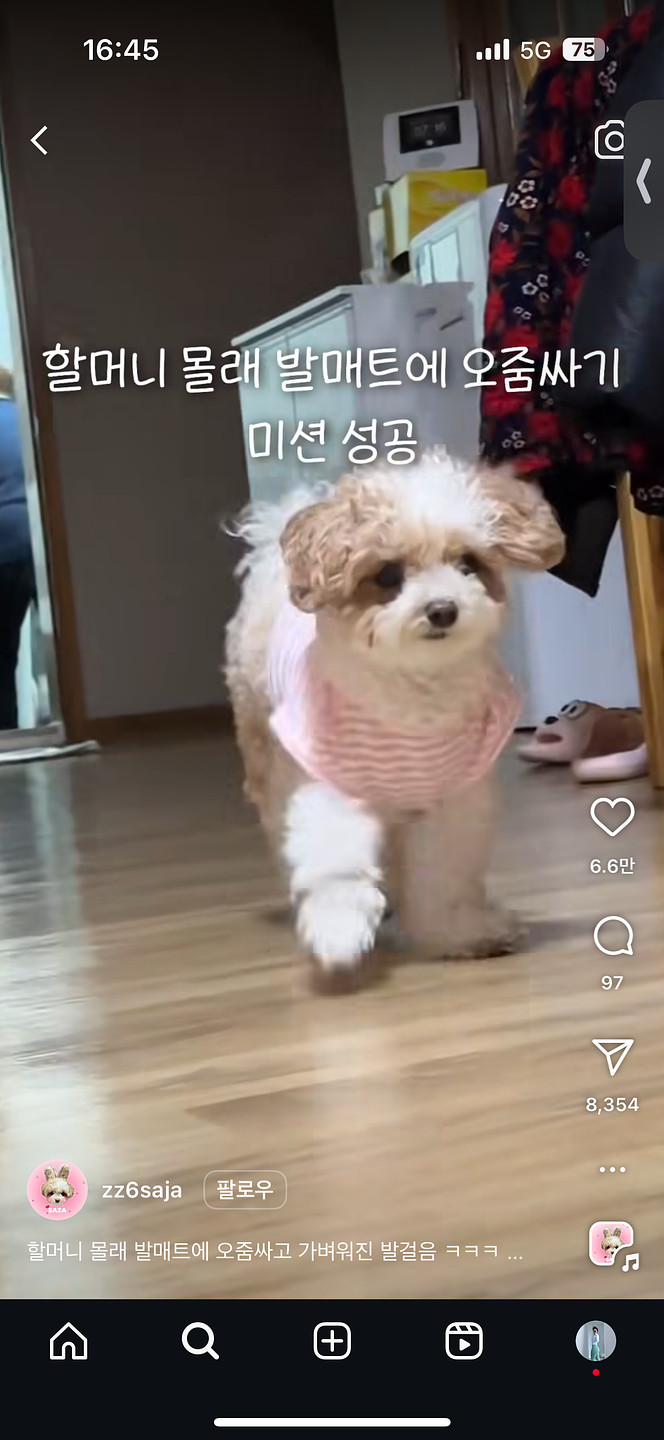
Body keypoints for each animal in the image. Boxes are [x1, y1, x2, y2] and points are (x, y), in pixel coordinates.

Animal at [225, 447, 564, 976]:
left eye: (468, 564)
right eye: (387, 574)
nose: (442, 609)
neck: (414, 694)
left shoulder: (451, 800)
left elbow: (443, 873)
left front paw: (462, 933)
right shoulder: (329, 783)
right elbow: (334, 860)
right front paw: (338, 934)